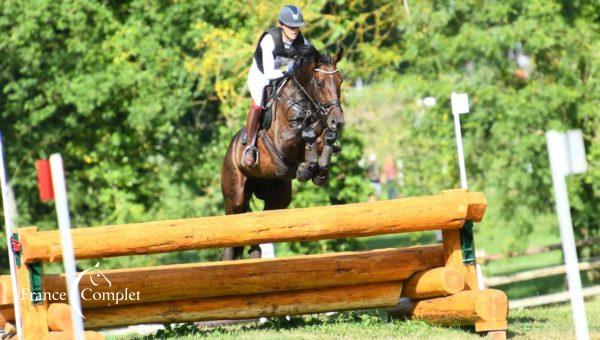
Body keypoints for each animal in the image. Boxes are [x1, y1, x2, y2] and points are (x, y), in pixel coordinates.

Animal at [220, 45, 344, 260]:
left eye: (340, 82)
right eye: (320, 84)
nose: (338, 121)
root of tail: (229, 152)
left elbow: (325, 136)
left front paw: (317, 170)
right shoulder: (283, 141)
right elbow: (307, 132)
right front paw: (308, 167)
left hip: (278, 197)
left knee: (258, 232)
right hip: (234, 197)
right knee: (231, 238)